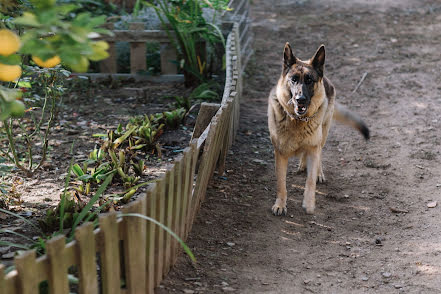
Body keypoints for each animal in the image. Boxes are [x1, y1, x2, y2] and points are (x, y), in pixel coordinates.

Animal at [268, 42, 368, 215]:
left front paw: (309, 203)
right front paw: (280, 204)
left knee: (319, 154)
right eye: (293, 80)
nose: (300, 99)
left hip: (322, 135)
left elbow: (310, 180)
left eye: (309, 80)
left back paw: (318, 172)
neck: (298, 120)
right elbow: (281, 184)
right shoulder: (280, 154)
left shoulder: (314, 147)